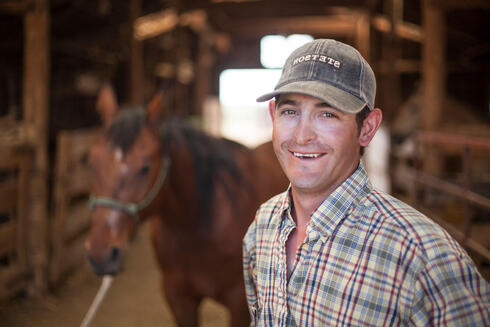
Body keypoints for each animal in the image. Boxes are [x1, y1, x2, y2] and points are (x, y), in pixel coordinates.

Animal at [84, 86, 290, 326]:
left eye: (145, 167)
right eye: (92, 162)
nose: (101, 255)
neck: (197, 227)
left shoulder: (239, 303)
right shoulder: (178, 298)